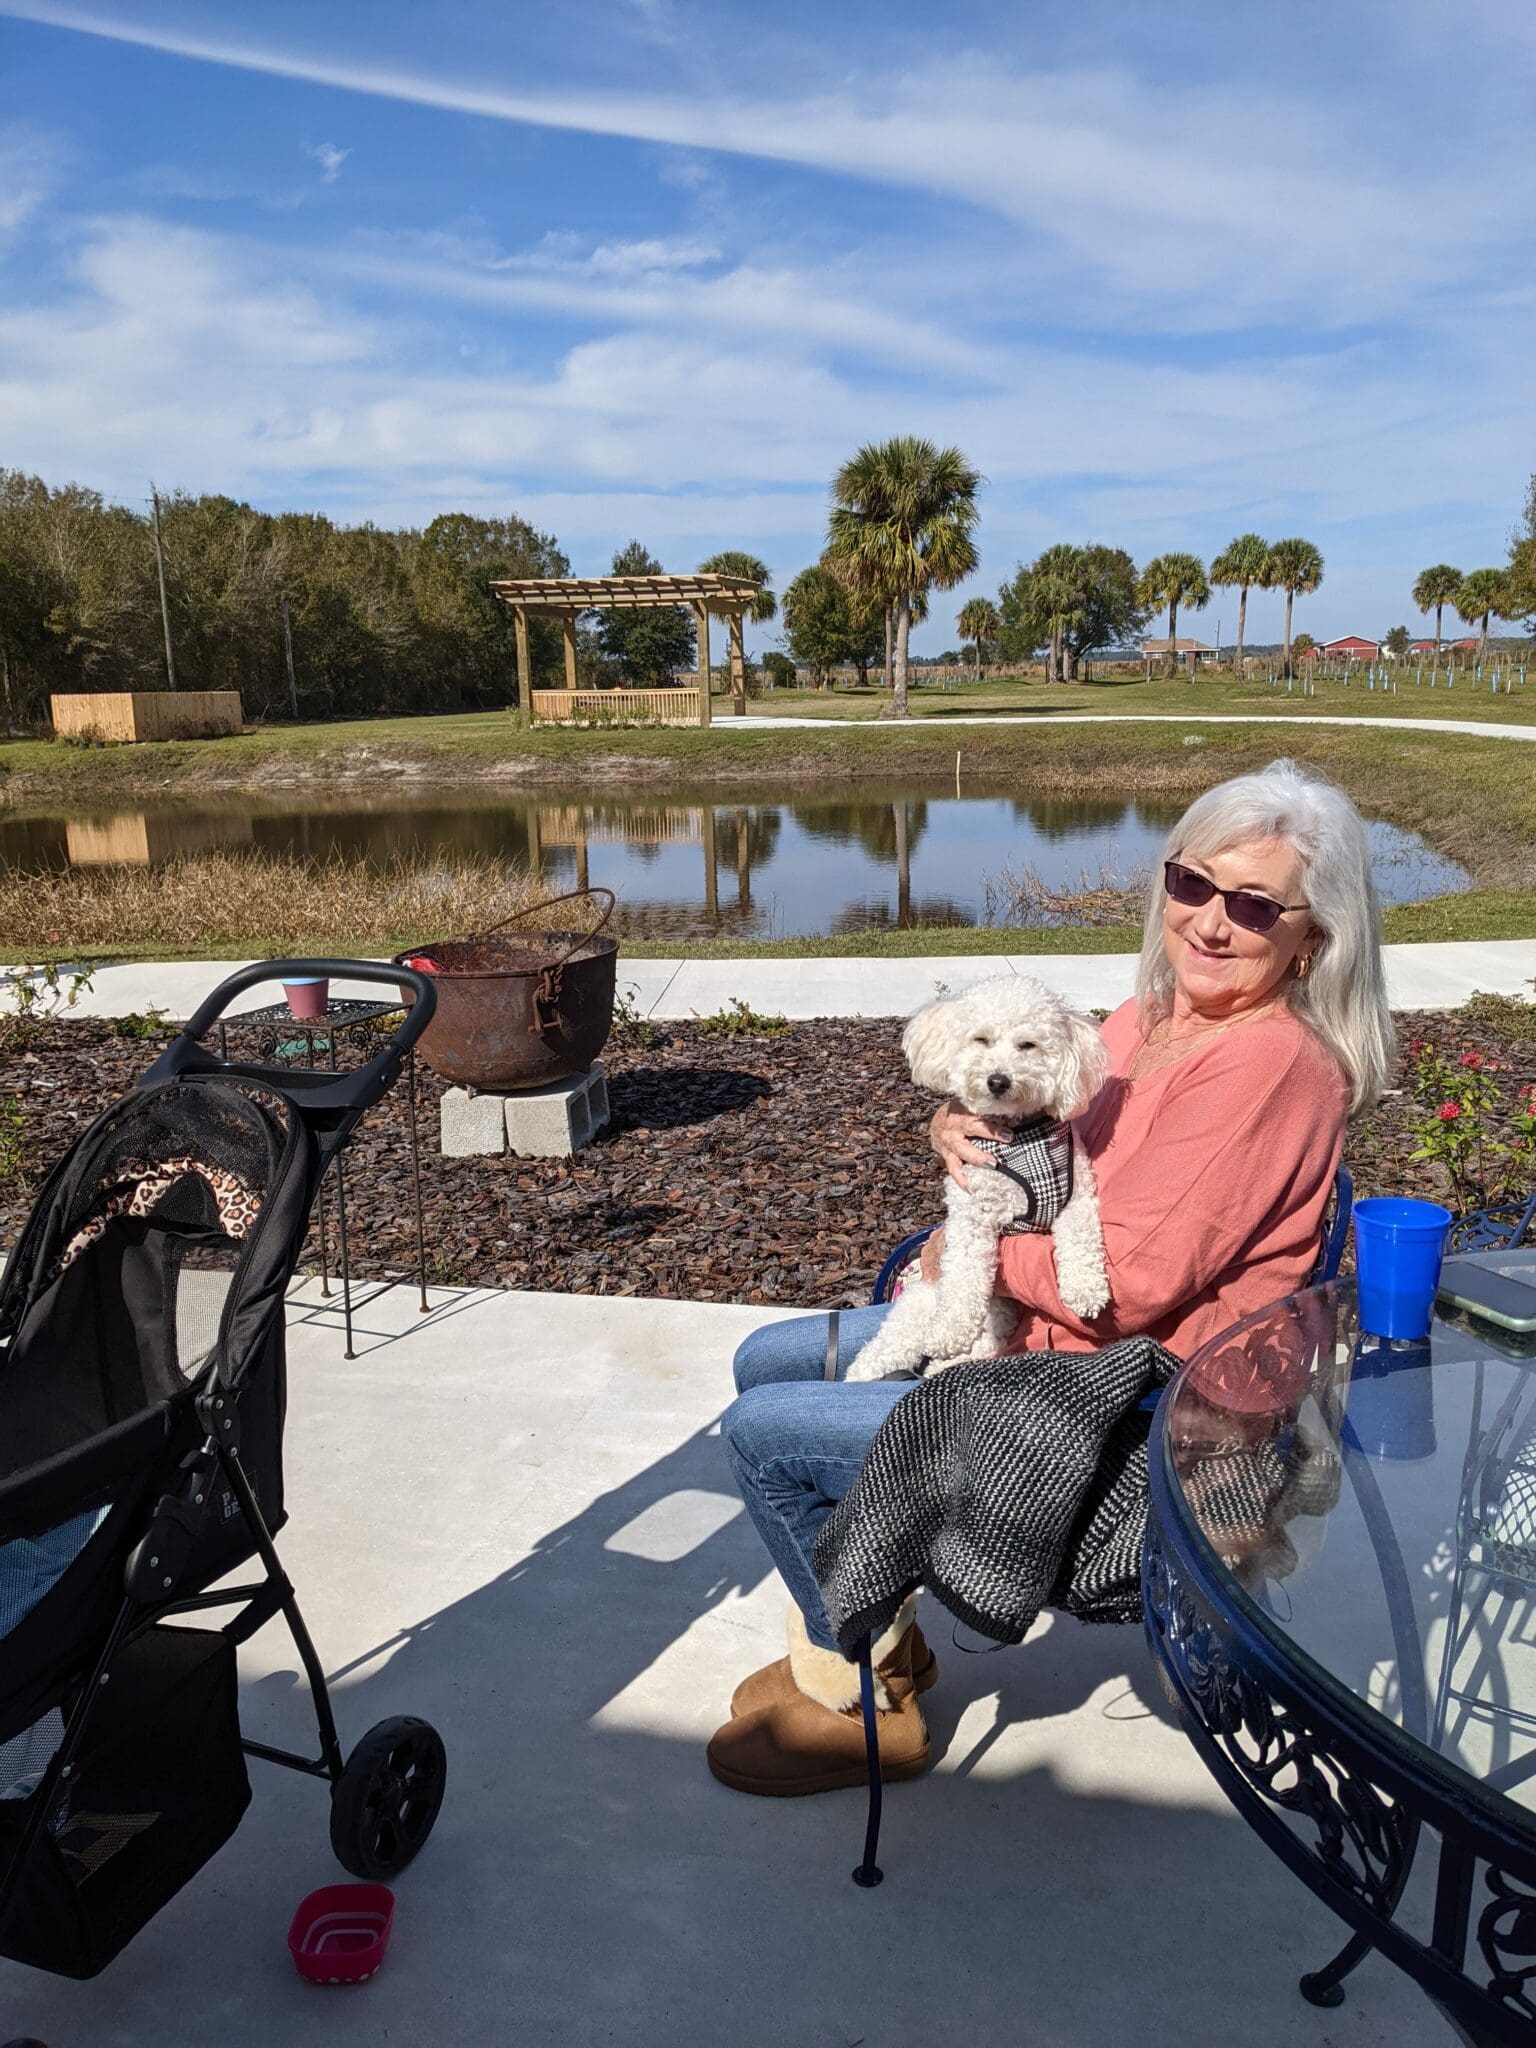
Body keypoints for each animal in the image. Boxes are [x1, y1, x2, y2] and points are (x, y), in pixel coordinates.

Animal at [847, 966, 1114, 1384]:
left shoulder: (1076, 1197)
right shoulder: (971, 1218)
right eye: (981, 1039)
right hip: (920, 1310)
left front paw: (1086, 1289)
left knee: (970, 1350)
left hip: (998, 1317)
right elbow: (963, 1277)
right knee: (886, 1347)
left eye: (1027, 1045)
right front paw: (950, 1329)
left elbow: (1081, 1241)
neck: (1020, 1137)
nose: (998, 1080)